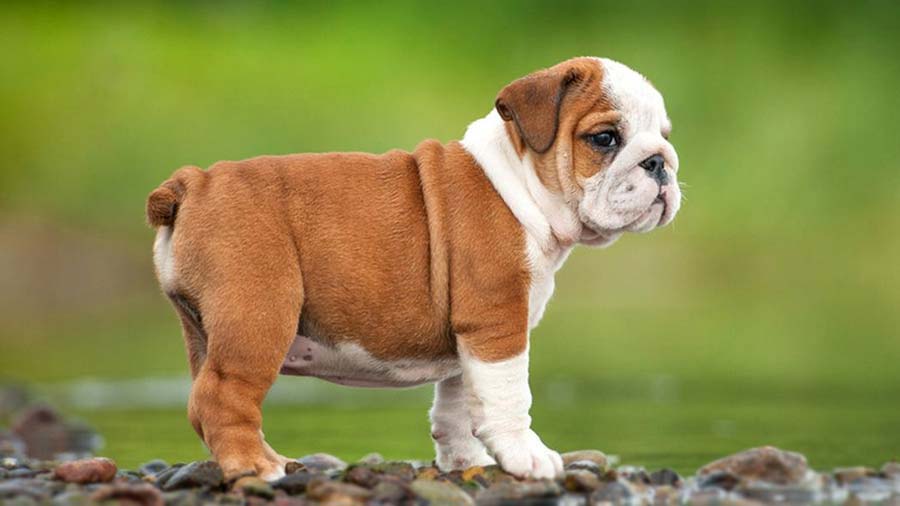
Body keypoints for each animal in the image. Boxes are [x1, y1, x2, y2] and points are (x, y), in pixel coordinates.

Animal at [148, 57, 680, 480]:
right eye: (605, 139)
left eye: (664, 137)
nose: (660, 162)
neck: (520, 183)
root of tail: (194, 183)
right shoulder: (496, 325)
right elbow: (508, 398)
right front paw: (526, 456)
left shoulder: (469, 341)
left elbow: (458, 406)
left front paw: (465, 462)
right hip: (258, 317)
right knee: (222, 397)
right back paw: (258, 467)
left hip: (205, 330)